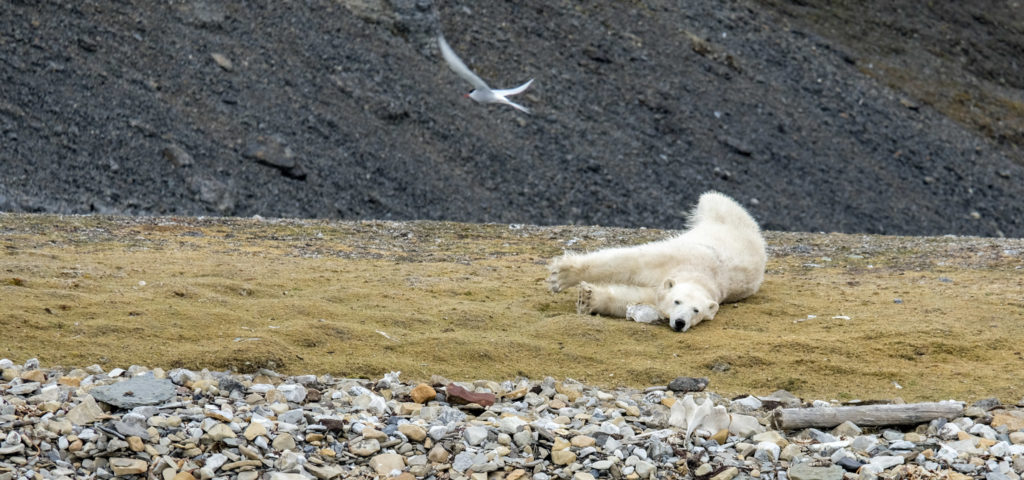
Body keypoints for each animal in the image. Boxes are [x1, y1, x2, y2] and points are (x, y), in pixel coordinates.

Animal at [548, 190, 765, 329]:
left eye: (696, 310)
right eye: (677, 301)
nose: (680, 323)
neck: (700, 273)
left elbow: (634, 297)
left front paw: (588, 298)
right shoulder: (677, 257)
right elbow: (629, 263)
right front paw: (560, 276)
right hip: (723, 213)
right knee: (713, 200)